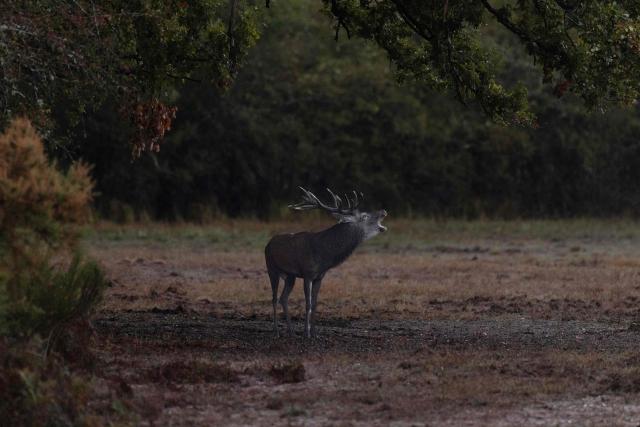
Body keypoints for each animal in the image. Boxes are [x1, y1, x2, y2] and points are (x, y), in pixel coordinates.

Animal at [265, 187, 388, 338]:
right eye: (364, 216)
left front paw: (314, 333)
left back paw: (291, 331)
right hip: (271, 268)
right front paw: (306, 334)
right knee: (274, 298)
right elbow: (308, 304)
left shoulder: (319, 277)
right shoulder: (307, 274)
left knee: (283, 298)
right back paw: (276, 331)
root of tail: (268, 244)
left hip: (290, 276)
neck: (324, 256)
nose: (383, 211)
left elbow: (315, 304)